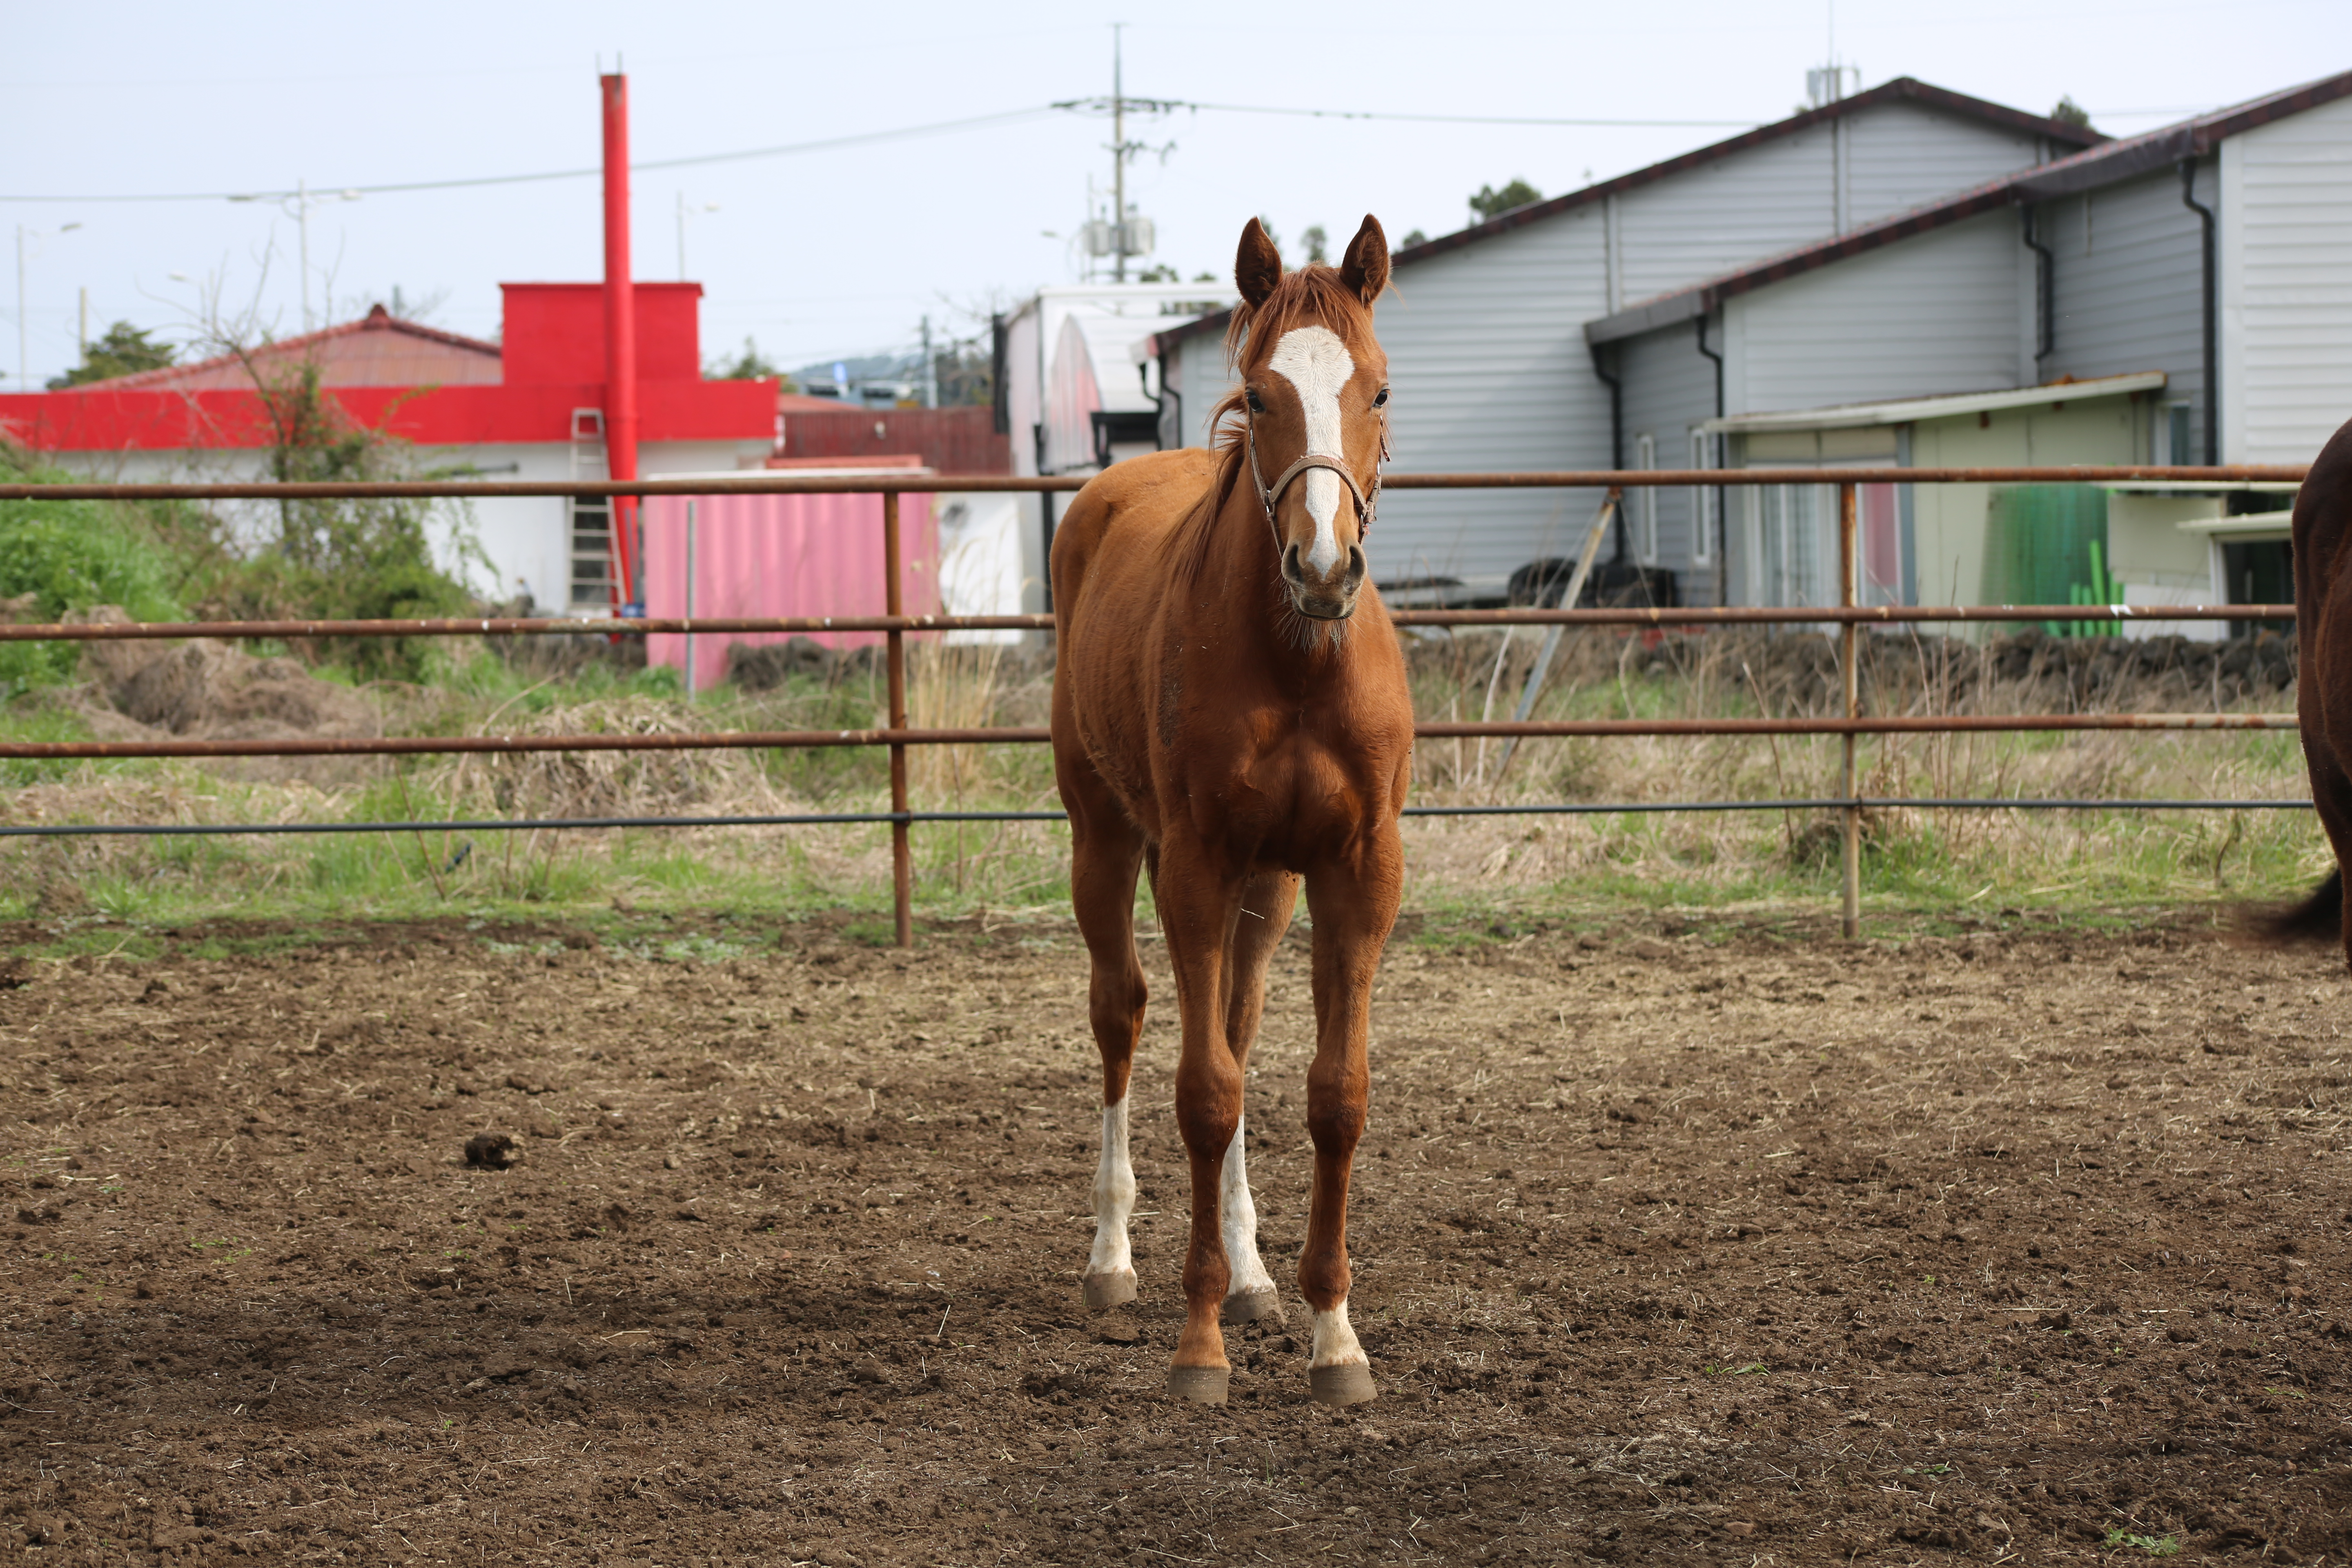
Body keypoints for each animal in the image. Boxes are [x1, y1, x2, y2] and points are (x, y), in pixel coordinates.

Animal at [1054, 215, 1411, 1401]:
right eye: (1260, 393)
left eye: (1378, 389)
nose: (1323, 565)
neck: (1295, 661)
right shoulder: (1197, 865)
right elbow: (1203, 1092)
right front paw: (1198, 1342)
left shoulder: (1355, 871)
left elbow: (1330, 1095)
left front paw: (1332, 1336)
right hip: (1104, 839)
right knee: (1122, 1015)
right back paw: (1111, 1260)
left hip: (1269, 883)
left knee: (1243, 1033)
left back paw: (1256, 1279)